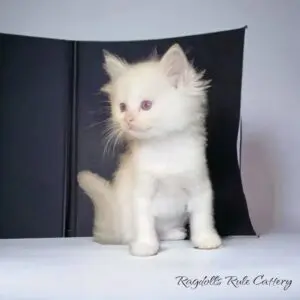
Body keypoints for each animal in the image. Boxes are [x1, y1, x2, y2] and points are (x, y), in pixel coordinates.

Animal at [78, 44, 221, 255]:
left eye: (146, 105)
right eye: (122, 107)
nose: (127, 119)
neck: (164, 148)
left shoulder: (200, 185)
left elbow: (203, 216)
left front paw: (206, 239)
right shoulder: (141, 192)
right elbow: (144, 221)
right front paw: (145, 246)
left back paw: (174, 234)